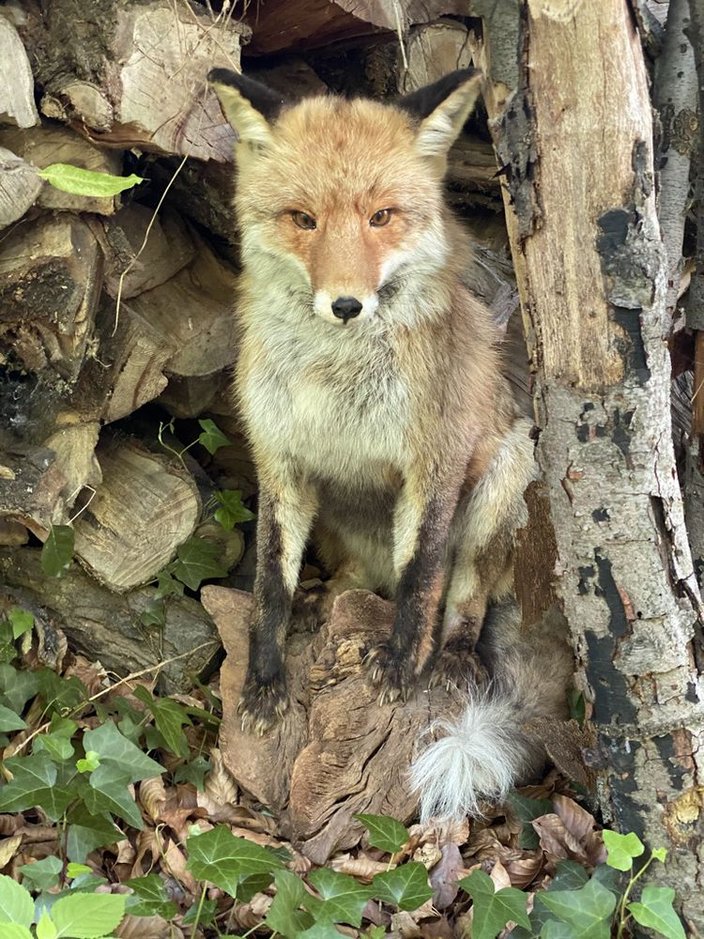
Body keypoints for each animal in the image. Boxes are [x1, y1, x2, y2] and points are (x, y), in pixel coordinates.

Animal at [209, 67, 571, 818]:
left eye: (381, 216)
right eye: (304, 219)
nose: (347, 304)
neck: (335, 377)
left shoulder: (432, 462)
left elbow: (420, 577)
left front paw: (403, 665)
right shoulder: (279, 461)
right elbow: (269, 583)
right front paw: (265, 678)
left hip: (506, 476)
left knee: (463, 598)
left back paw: (454, 655)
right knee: (355, 579)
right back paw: (328, 599)